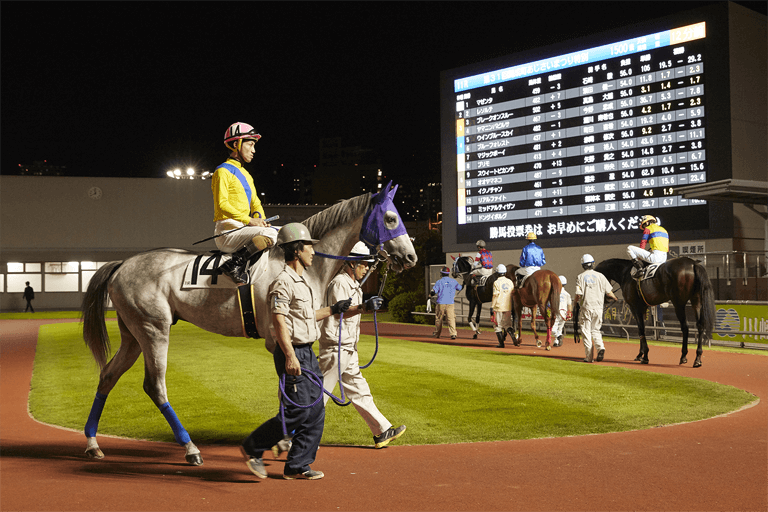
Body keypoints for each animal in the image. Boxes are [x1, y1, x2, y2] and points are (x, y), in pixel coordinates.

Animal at [82, 184, 416, 464]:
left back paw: (93, 444)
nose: (411, 257)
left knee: (108, 375)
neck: (300, 263)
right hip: (154, 329)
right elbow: (292, 388)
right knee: (155, 385)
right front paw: (284, 441)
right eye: (390, 218)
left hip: (133, 335)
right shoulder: (280, 339)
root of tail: (123, 264)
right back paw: (190, 448)